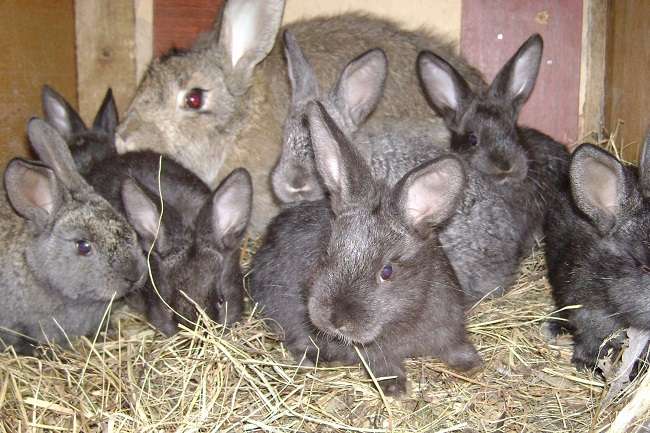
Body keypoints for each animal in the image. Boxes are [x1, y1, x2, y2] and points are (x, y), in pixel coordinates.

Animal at [251, 101, 481, 396]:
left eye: (387, 271)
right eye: (326, 255)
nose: (335, 320)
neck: (404, 319)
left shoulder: (450, 326)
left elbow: (454, 345)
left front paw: (472, 363)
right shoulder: (375, 353)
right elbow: (383, 365)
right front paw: (396, 388)